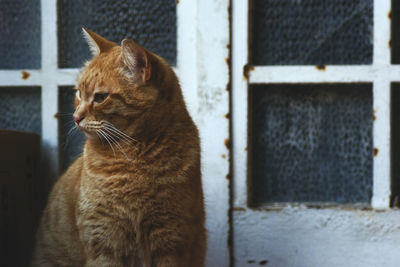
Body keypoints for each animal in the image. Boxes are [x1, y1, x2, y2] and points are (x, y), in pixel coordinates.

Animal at [31, 28, 205, 266]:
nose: (75, 117)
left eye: (100, 97)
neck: (133, 155)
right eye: (78, 93)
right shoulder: (103, 242)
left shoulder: (171, 241)